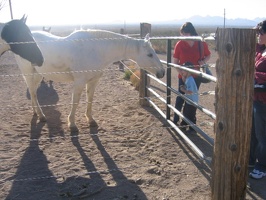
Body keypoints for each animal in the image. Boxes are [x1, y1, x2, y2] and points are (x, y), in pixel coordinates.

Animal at [0, 17, 164, 132]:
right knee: (33, 93)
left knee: (33, 91)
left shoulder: (93, 81)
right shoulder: (79, 82)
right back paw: (41, 116)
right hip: (28, 72)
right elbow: (75, 101)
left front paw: (90, 120)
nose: (162, 72)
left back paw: (36, 112)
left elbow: (90, 99)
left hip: (39, 73)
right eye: (150, 54)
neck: (95, 49)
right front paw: (72, 124)